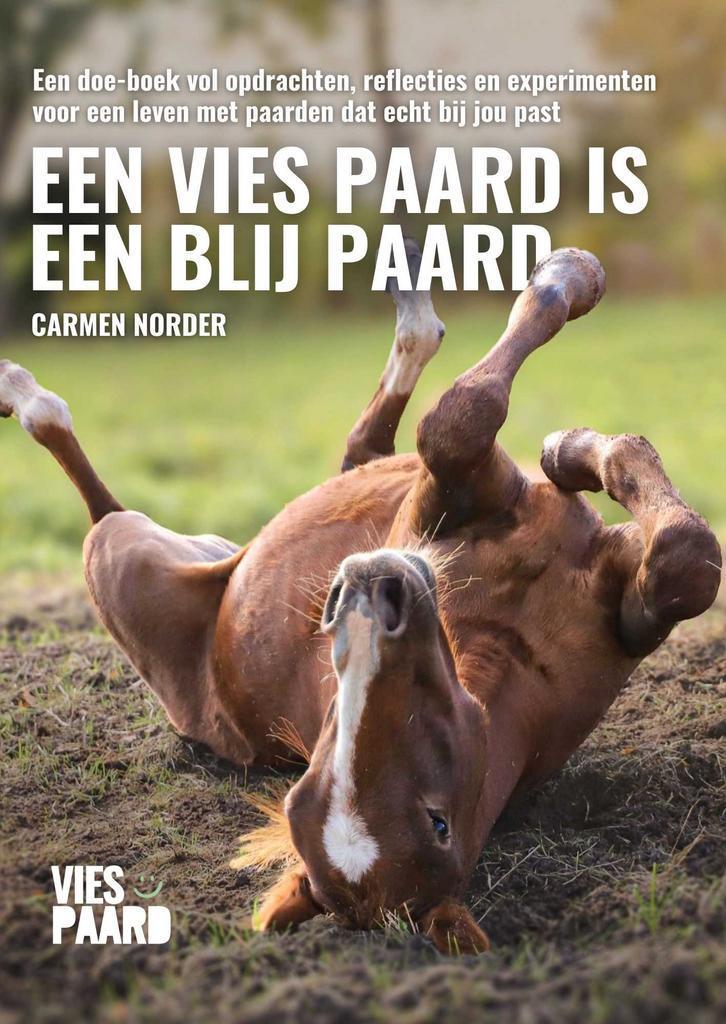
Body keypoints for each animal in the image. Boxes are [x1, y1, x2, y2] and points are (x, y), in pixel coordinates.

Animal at [1, 244, 720, 954]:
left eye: (437, 820)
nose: (370, 592)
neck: (508, 640)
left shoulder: (625, 612)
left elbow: (685, 563)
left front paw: (571, 447)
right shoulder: (443, 493)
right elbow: (461, 417)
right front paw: (572, 290)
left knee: (365, 442)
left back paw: (415, 300)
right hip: (118, 553)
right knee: (92, 487)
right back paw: (25, 395)